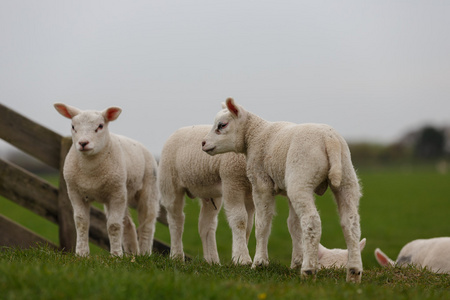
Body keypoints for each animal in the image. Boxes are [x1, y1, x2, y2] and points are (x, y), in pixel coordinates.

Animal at [53, 102, 159, 255]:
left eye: (100, 126)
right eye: (73, 126)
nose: (83, 143)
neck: (90, 172)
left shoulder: (116, 194)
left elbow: (114, 225)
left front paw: (116, 255)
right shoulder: (75, 193)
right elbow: (81, 222)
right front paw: (81, 254)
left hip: (148, 189)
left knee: (147, 223)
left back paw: (144, 253)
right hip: (122, 193)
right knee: (128, 223)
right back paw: (132, 253)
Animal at [159, 125, 255, 264]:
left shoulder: (251, 193)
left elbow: (248, 225)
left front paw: (241, 255)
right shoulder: (232, 182)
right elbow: (240, 220)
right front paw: (242, 258)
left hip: (209, 191)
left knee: (206, 225)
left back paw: (212, 261)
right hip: (170, 184)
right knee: (176, 220)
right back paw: (177, 256)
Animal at [202, 98, 364, 284]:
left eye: (222, 125)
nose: (203, 143)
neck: (255, 134)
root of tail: (330, 140)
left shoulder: (261, 183)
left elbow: (262, 224)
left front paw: (260, 262)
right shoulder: (286, 190)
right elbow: (293, 225)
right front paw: (295, 263)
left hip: (301, 178)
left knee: (312, 221)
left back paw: (308, 270)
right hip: (346, 178)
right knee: (350, 222)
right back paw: (353, 272)